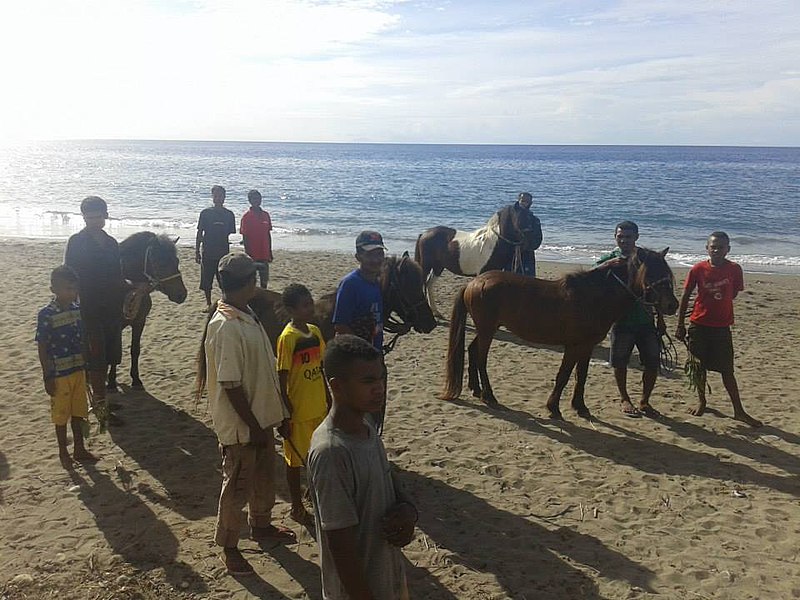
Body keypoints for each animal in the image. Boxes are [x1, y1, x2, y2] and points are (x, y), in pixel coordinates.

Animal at [109, 230, 188, 390]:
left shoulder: (140, 322)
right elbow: (114, 352)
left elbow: (135, 350)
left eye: (177, 261)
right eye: (161, 263)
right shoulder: (115, 326)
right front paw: (112, 381)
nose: (181, 294)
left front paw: (136, 379)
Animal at [440, 246, 680, 420]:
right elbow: (564, 375)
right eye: (651, 274)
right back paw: (489, 396)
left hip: (487, 329)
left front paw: (580, 406)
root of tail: (474, 282)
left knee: (472, 351)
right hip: (488, 330)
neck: (594, 298)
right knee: (481, 358)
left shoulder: (587, 347)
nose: (672, 305)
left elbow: (581, 376)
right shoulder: (573, 347)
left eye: (667, 273)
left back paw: (475, 389)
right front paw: (553, 408)